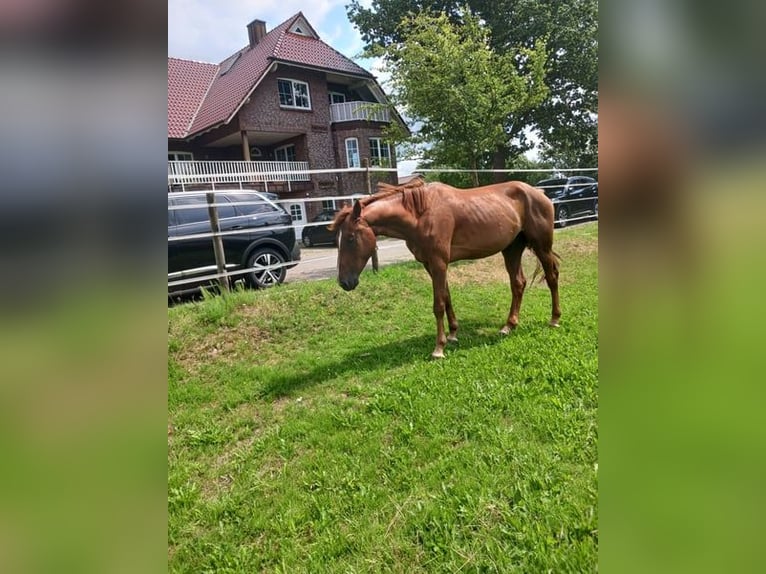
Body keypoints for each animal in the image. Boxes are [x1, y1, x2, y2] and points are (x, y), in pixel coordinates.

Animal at [329, 178, 561, 359]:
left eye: (350, 238)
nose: (345, 282)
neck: (420, 215)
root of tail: (540, 194)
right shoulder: (430, 265)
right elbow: (447, 297)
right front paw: (452, 334)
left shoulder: (439, 262)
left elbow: (438, 304)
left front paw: (439, 348)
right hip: (512, 249)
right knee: (518, 284)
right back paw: (509, 325)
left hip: (541, 246)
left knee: (551, 277)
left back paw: (554, 319)